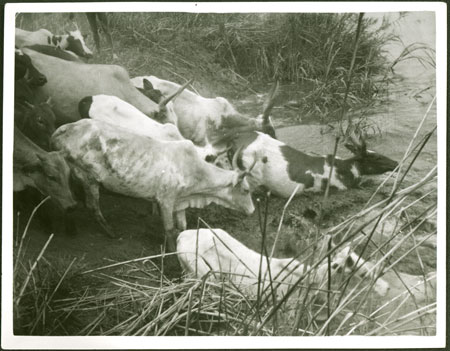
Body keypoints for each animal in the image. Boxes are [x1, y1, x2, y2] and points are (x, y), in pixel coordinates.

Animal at [51, 119, 255, 250]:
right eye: (246, 190)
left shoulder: (179, 202)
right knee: (91, 205)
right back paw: (110, 231)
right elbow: (170, 230)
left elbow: (182, 226)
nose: (252, 211)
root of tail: (65, 129)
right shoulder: (165, 199)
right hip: (89, 177)